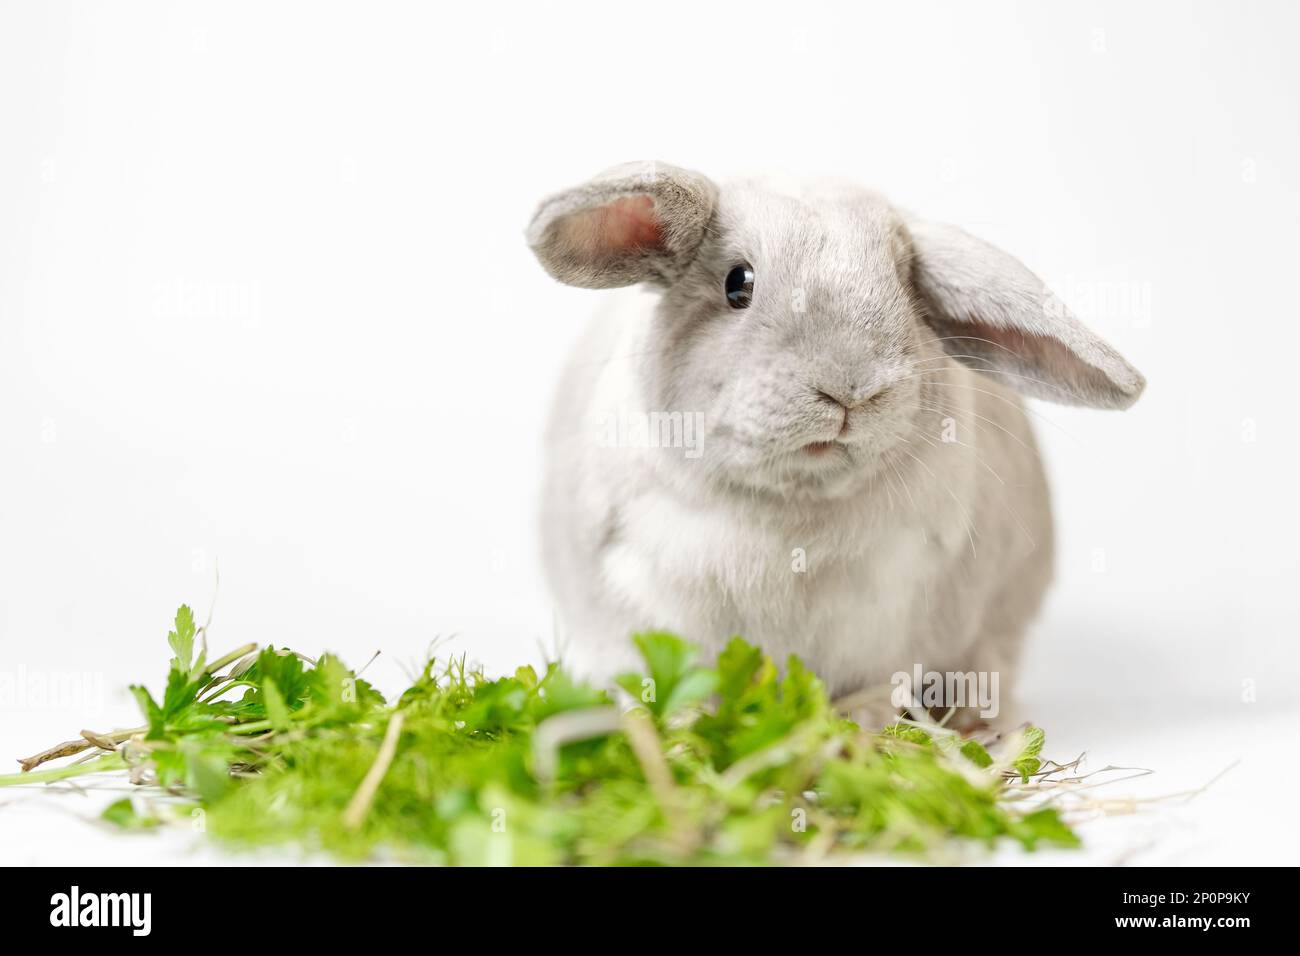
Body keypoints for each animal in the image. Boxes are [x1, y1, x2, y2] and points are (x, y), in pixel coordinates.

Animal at [525, 161, 1144, 729]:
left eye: (907, 286)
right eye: (738, 283)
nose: (851, 387)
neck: (794, 506)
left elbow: (873, 690)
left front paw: (860, 731)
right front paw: (678, 732)